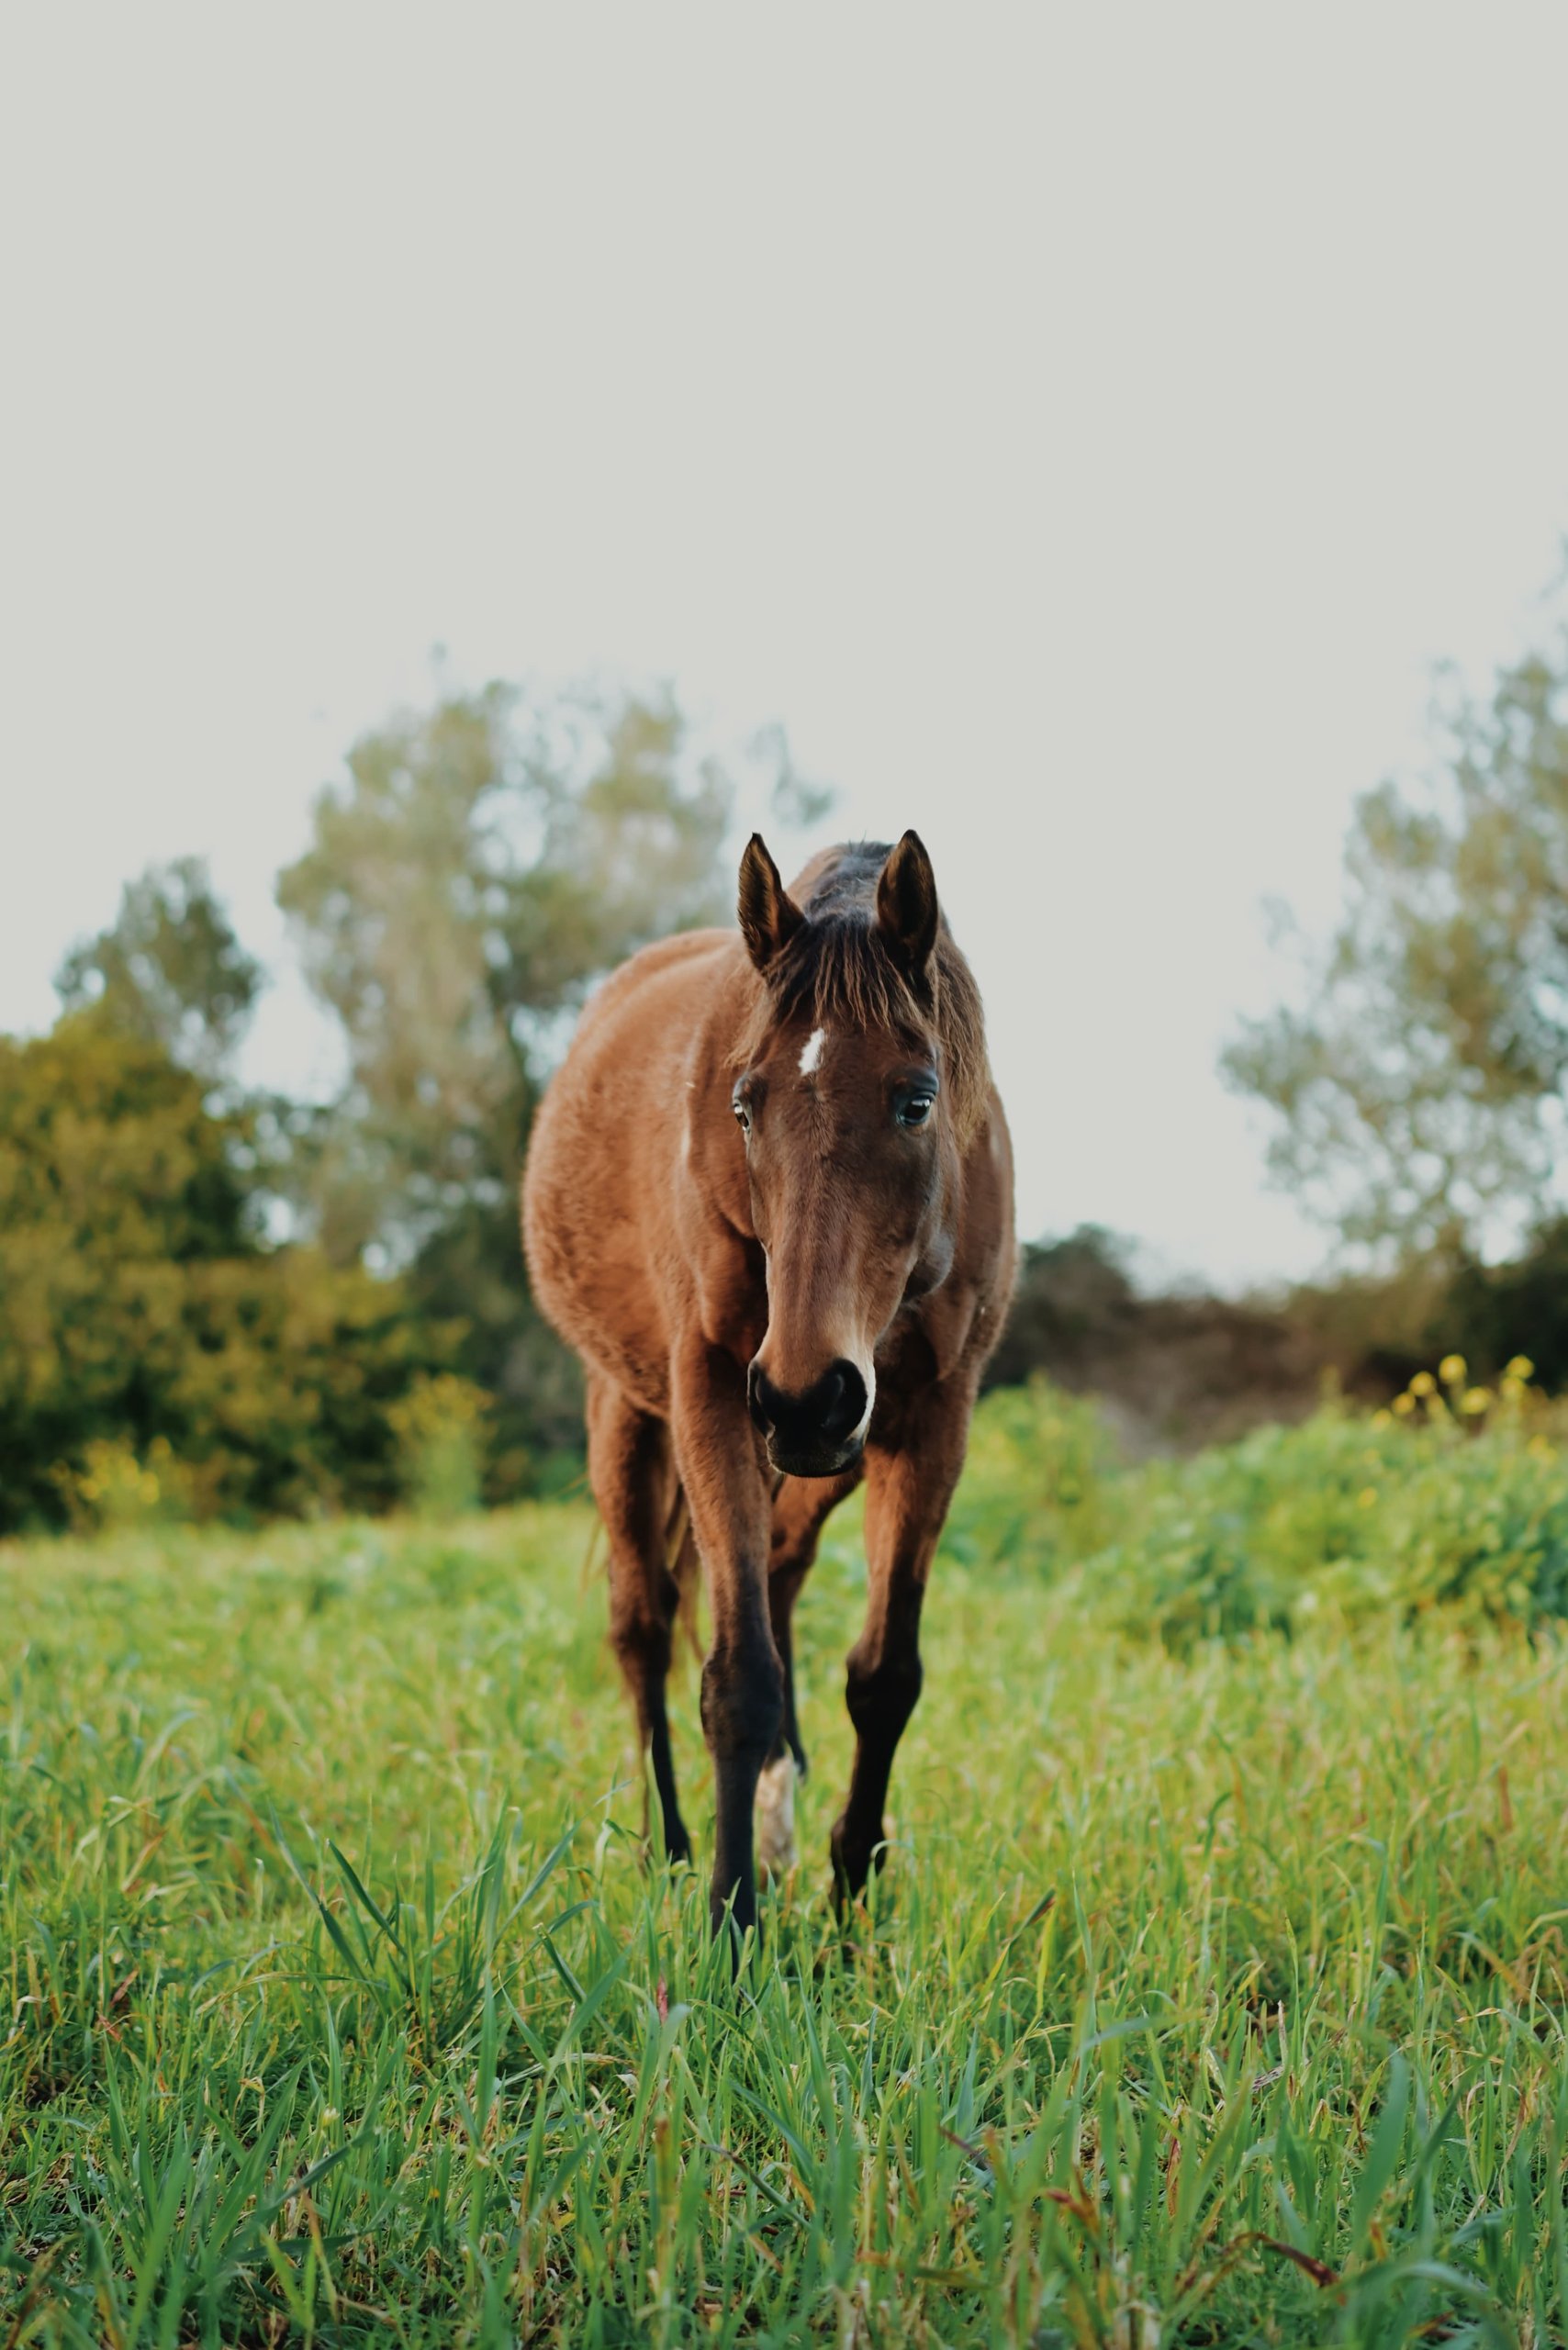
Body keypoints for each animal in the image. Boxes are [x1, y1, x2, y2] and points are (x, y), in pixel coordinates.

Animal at [522, 830, 1015, 1937]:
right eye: (743, 1105)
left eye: (917, 1099)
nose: (804, 1395)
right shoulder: (711, 1394)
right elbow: (736, 1678)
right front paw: (731, 1924)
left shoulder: (929, 1422)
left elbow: (883, 1678)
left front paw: (851, 1906)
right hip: (630, 1417)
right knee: (643, 1626)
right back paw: (668, 1851)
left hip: (825, 1456)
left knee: (781, 1575)